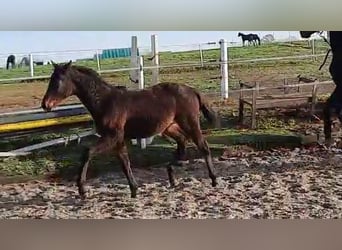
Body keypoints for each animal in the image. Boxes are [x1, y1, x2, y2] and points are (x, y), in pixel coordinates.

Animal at [41, 61, 220, 199]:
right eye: (50, 80)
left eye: (58, 81)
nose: (45, 105)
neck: (105, 102)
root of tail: (193, 90)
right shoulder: (118, 139)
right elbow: (124, 162)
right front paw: (134, 190)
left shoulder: (112, 136)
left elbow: (88, 152)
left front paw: (82, 190)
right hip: (169, 127)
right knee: (182, 144)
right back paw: (171, 176)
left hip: (189, 123)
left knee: (203, 146)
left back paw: (213, 179)